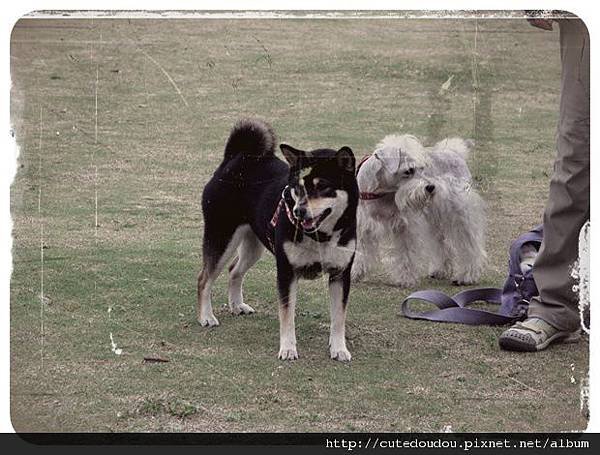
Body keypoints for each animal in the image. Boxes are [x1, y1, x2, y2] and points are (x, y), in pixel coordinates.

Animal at [197, 119, 358, 362]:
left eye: (322, 187)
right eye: (297, 188)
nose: (299, 211)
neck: (320, 237)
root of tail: (235, 159)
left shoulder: (340, 274)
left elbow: (339, 318)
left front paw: (339, 348)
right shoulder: (286, 272)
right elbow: (287, 314)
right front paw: (288, 348)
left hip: (253, 246)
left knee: (234, 270)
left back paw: (237, 305)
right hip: (222, 239)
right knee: (204, 279)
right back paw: (206, 316)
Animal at [352, 134, 488, 286]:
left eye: (423, 168)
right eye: (408, 171)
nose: (431, 187)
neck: (381, 193)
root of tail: (455, 152)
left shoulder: (405, 227)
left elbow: (406, 254)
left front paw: (406, 279)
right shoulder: (363, 226)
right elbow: (361, 251)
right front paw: (356, 273)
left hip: (461, 216)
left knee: (470, 247)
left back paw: (466, 276)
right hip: (434, 221)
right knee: (441, 244)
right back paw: (439, 270)